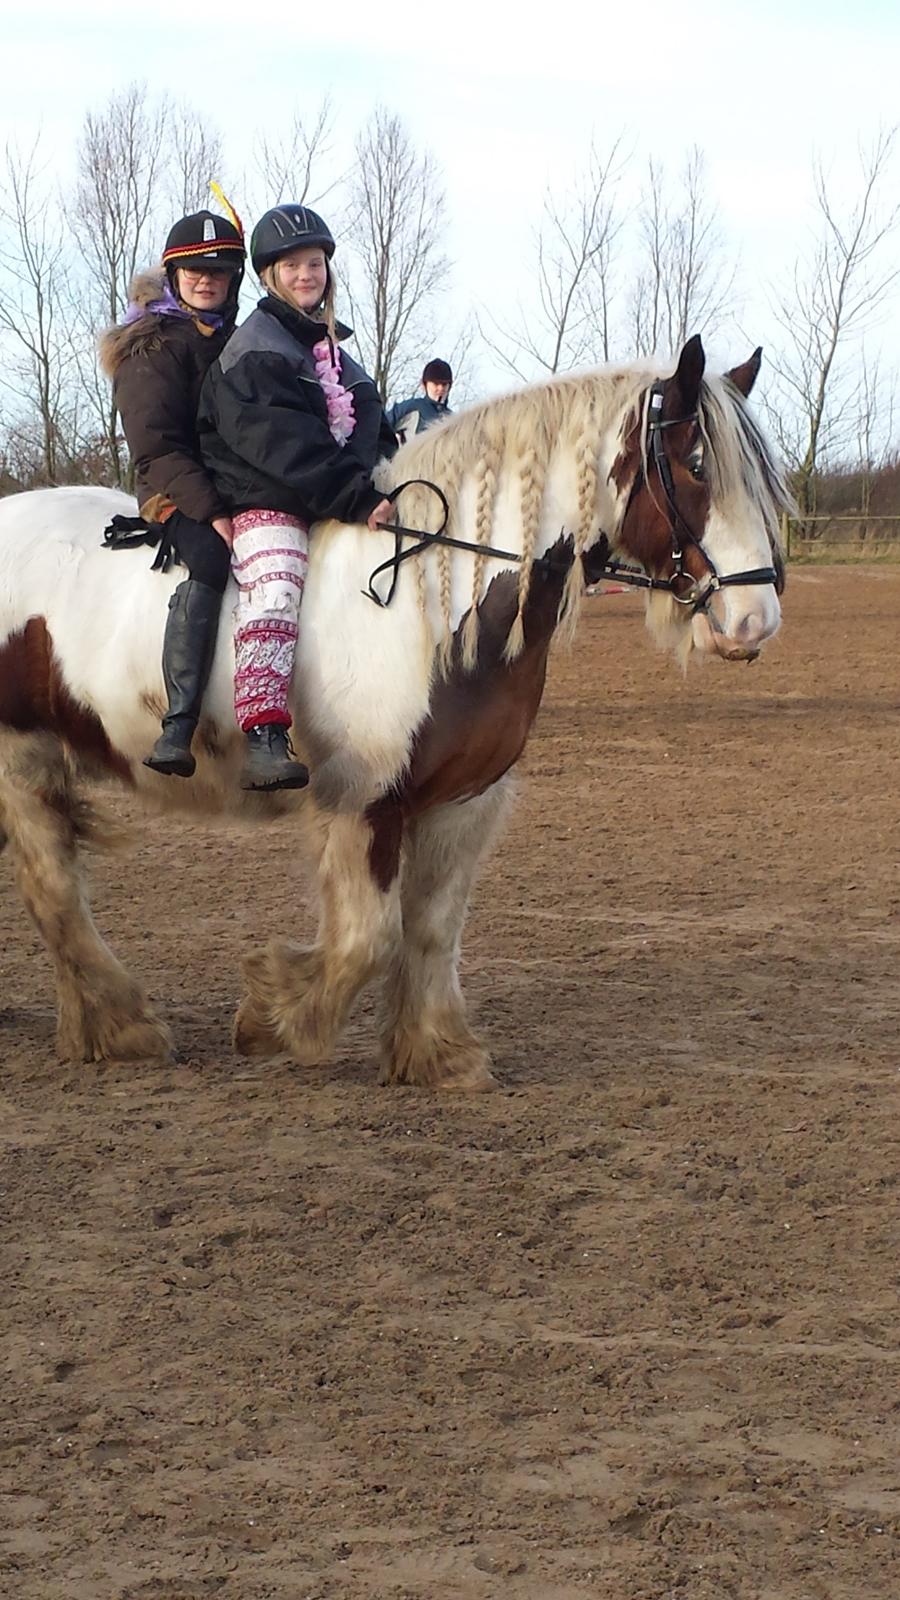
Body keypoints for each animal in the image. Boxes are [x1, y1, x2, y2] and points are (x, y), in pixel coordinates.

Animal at [0, 336, 784, 1088]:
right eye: (695, 465)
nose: (754, 620)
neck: (430, 606)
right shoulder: (365, 797)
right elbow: (367, 939)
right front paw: (274, 1016)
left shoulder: (463, 799)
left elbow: (432, 929)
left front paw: (437, 1055)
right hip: (23, 755)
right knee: (54, 891)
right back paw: (122, 1028)